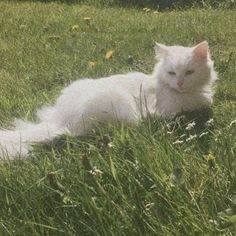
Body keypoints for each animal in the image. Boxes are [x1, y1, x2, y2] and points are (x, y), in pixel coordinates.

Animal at [0, 41, 218, 159]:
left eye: (189, 73)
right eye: (172, 73)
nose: (180, 83)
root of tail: (58, 120)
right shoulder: (170, 110)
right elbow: (199, 105)